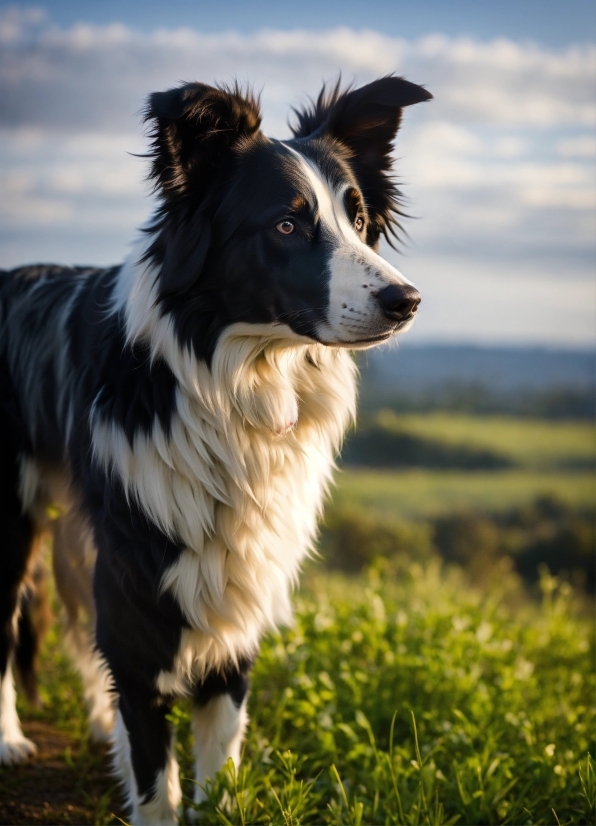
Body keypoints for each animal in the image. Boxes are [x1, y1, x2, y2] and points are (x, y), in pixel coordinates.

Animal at [0, 75, 430, 816]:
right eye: (286, 224)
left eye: (359, 220)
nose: (406, 301)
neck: (235, 385)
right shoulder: (141, 579)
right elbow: (155, 771)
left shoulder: (241, 573)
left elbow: (220, 738)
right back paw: (9, 739)